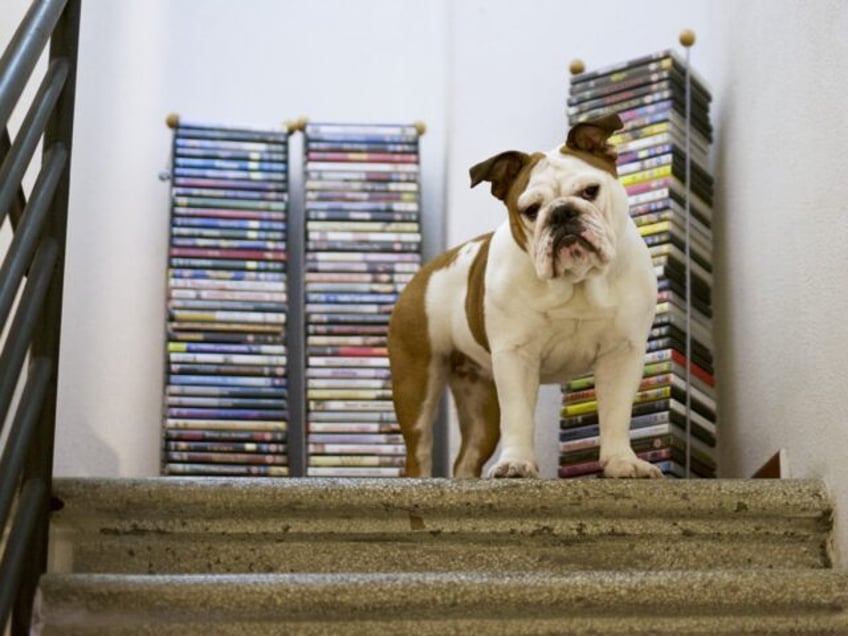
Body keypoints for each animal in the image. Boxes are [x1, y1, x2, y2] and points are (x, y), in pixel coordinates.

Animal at [386, 114, 664, 480]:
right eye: (531, 209)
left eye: (590, 191)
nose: (562, 213)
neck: (576, 282)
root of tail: (429, 269)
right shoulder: (516, 357)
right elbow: (518, 416)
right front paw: (516, 464)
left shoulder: (622, 353)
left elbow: (616, 414)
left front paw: (622, 462)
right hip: (417, 381)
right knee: (418, 448)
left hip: (480, 400)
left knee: (468, 456)